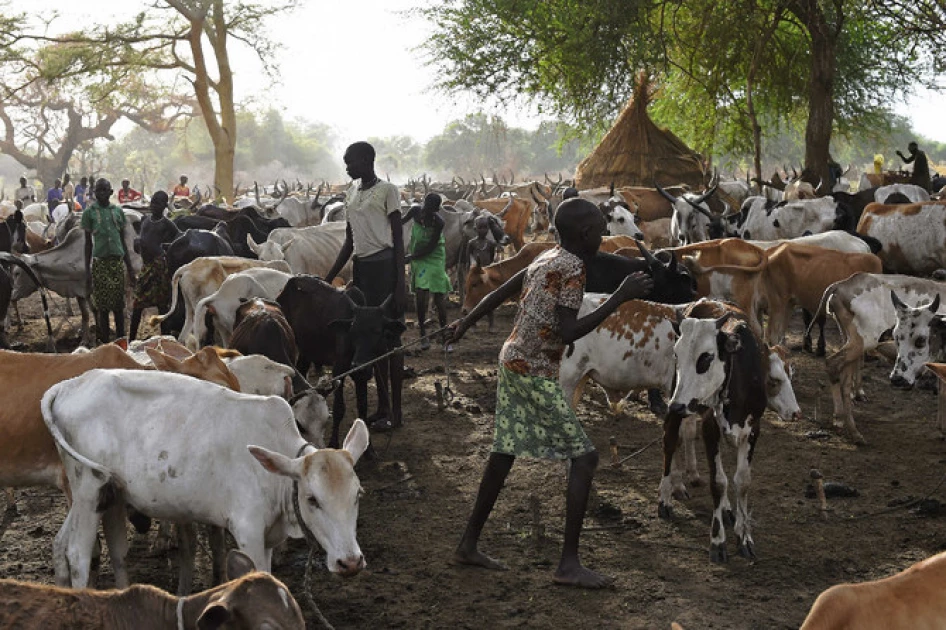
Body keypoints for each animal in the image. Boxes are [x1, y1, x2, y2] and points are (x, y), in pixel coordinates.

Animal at [44, 370, 368, 592]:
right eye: (313, 499)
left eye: (357, 495)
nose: (350, 562)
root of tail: (68, 384)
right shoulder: (247, 530)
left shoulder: (268, 537)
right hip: (89, 488)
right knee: (77, 553)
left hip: (107, 494)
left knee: (85, 547)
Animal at [274, 276, 404, 450]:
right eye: (353, 332)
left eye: (378, 331)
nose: (359, 365)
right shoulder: (339, 369)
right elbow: (339, 408)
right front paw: (334, 443)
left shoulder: (361, 375)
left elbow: (362, 408)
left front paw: (369, 449)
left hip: (307, 351)